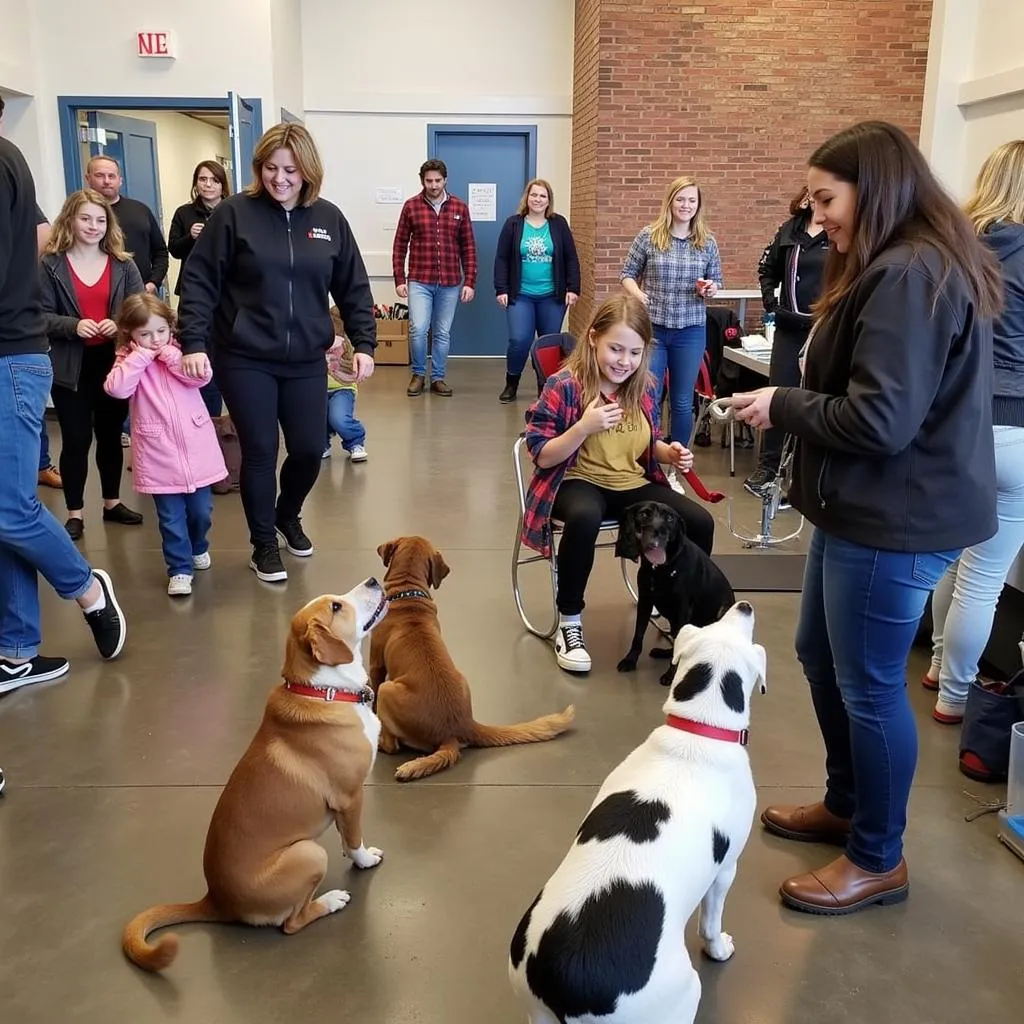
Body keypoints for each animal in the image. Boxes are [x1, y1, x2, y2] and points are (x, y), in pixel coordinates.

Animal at [120, 581, 391, 970]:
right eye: (336, 607)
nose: (372, 580)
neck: (324, 691)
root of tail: (216, 900)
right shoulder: (350, 797)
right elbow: (354, 840)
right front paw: (365, 860)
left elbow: (345, 837)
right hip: (309, 854)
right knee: (292, 923)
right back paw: (331, 901)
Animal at [370, 540, 577, 778]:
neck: (407, 594)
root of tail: (460, 727)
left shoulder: (376, 665)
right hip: (462, 679)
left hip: (387, 689)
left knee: (392, 745)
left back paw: (380, 742)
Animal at [507, 598, 765, 1024]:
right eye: (728, 623)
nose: (743, 603)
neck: (697, 730)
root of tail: (568, 978)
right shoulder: (726, 870)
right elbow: (711, 923)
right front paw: (720, 949)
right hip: (684, 994)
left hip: (536, 1011)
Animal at [614, 499, 737, 684]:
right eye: (644, 514)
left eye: (670, 518)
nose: (659, 532)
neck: (660, 568)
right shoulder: (644, 603)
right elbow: (638, 636)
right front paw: (630, 660)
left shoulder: (681, 611)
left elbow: (678, 646)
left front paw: (671, 675)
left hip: (720, 614)